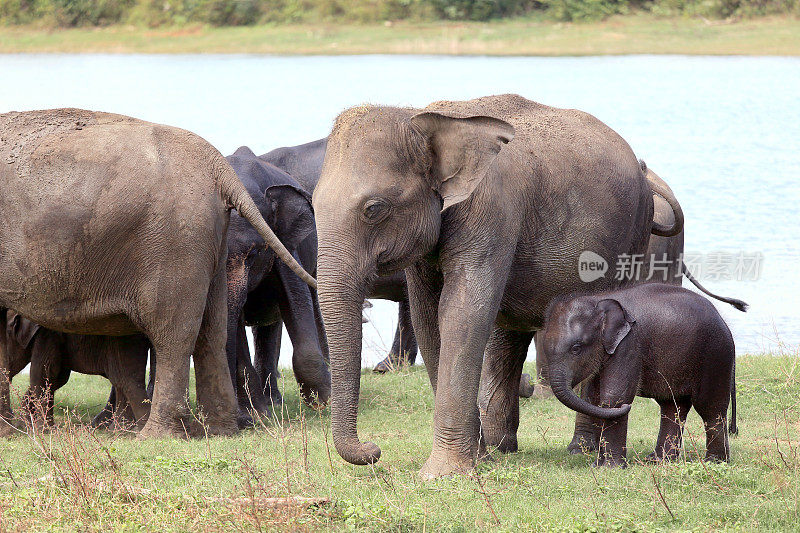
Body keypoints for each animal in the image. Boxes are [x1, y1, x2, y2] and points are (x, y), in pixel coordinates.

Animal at [0, 310, 150, 430]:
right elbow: (57, 377)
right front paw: (26, 422)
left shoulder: (48, 334)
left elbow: (42, 373)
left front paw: (42, 429)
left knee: (123, 380)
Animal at [310, 93, 680, 476]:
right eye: (312, 204)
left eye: (374, 209)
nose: (373, 450)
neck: (423, 117)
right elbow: (428, 316)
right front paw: (476, 459)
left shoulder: (491, 210)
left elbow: (461, 311)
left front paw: (443, 473)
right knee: (508, 334)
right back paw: (502, 448)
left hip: (632, 236)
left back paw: (580, 449)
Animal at [544, 282, 736, 466]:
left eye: (576, 348)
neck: (597, 299)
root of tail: (724, 321)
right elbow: (595, 400)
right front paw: (596, 466)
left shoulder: (629, 345)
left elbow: (615, 397)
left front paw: (611, 468)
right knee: (672, 406)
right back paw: (659, 460)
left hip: (716, 355)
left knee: (710, 408)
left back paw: (715, 461)